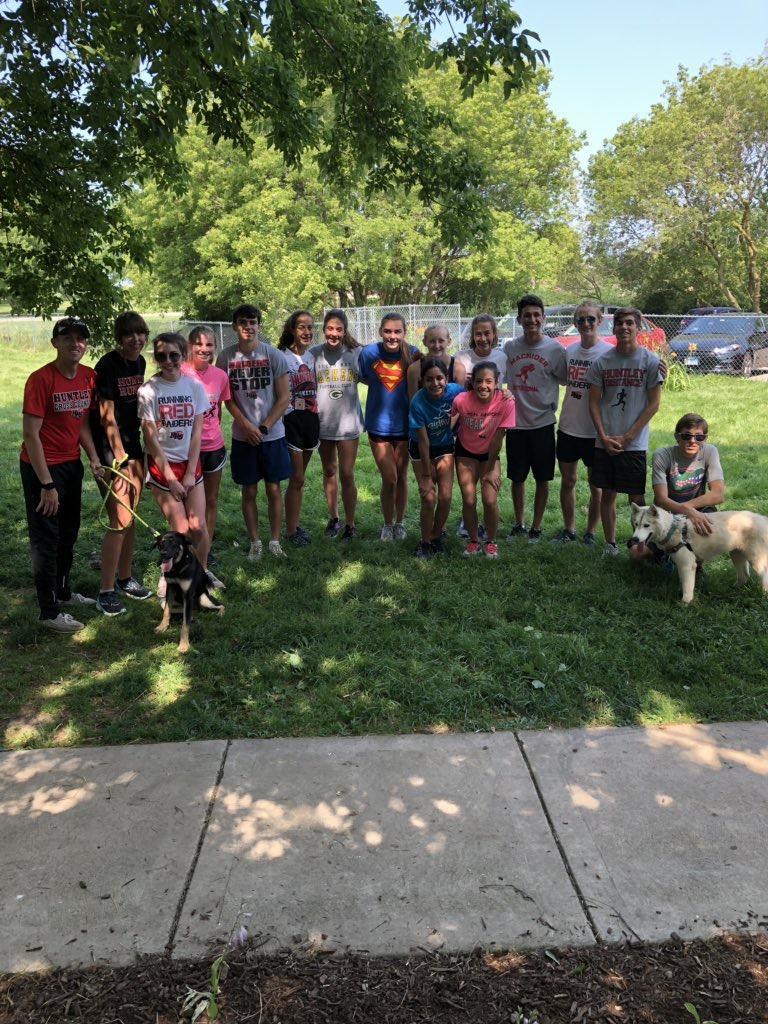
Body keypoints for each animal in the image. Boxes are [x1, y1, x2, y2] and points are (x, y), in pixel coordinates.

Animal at [630, 504, 768, 604]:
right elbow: (684, 582)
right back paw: (734, 589)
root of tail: (762, 519)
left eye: (646, 525)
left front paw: (685, 603)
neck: (672, 530)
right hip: (737, 555)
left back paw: (763, 595)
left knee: (763, 576)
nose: (634, 539)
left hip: (756, 559)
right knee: (744, 575)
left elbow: (687, 586)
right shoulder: (681, 565)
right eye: (636, 524)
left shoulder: (687, 565)